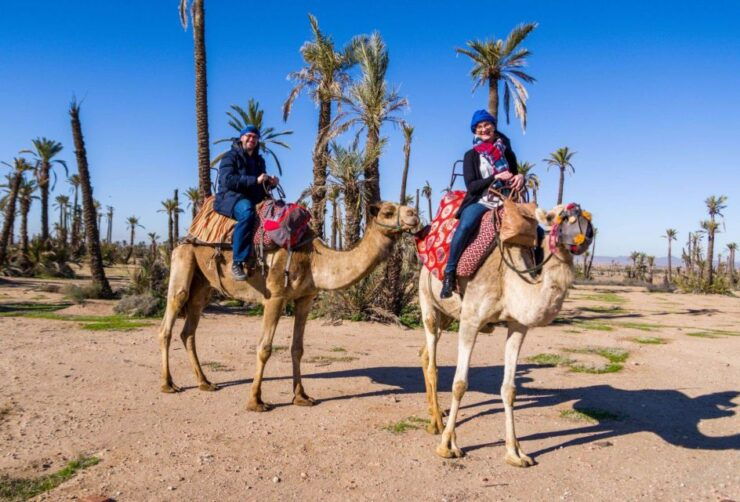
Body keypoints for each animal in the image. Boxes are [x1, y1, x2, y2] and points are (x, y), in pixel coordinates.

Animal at [158, 201, 419, 412]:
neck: (314, 259)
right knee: (169, 319)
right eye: (388, 211)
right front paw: (256, 401)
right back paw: (168, 384)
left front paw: (301, 397)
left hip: (203, 285)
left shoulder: (305, 298)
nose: (414, 214)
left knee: (188, 330)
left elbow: (297, 348)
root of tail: (187, 236)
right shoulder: (275, 296)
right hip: (183, 261)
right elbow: (264, 348)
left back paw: (205, 382)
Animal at [417, 203, 593, 466]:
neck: (508, 279)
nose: (587, 233)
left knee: (425, 353)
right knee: (432, 362)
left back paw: (434, 415)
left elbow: (509, 389)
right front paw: (448, 446)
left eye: (586, 215)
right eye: (555, 217)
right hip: (427, 300)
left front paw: (515, 453)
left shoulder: (517, 325)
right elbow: (459, 384)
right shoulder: (470, 320)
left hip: (447, 315)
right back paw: (437, 424)